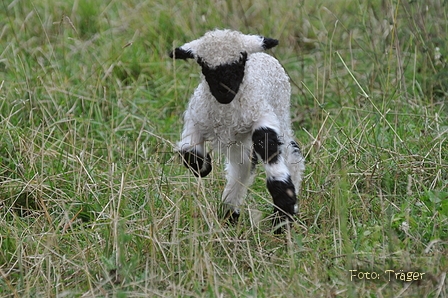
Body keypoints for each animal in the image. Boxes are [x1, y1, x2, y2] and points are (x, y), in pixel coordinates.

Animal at [170, 29, 306, 233]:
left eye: (240, 62)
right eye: (204, 66)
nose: (224, 92)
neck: (226, 111)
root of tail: (262, 55)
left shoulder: (262, 117)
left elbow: (267, 145)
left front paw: (285, 208)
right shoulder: (195, 120)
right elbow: (190, 153)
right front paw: (204, 167)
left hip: (280, 112)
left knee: (291, 156)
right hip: (238, 141)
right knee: (242, 166)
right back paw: (230, 213)